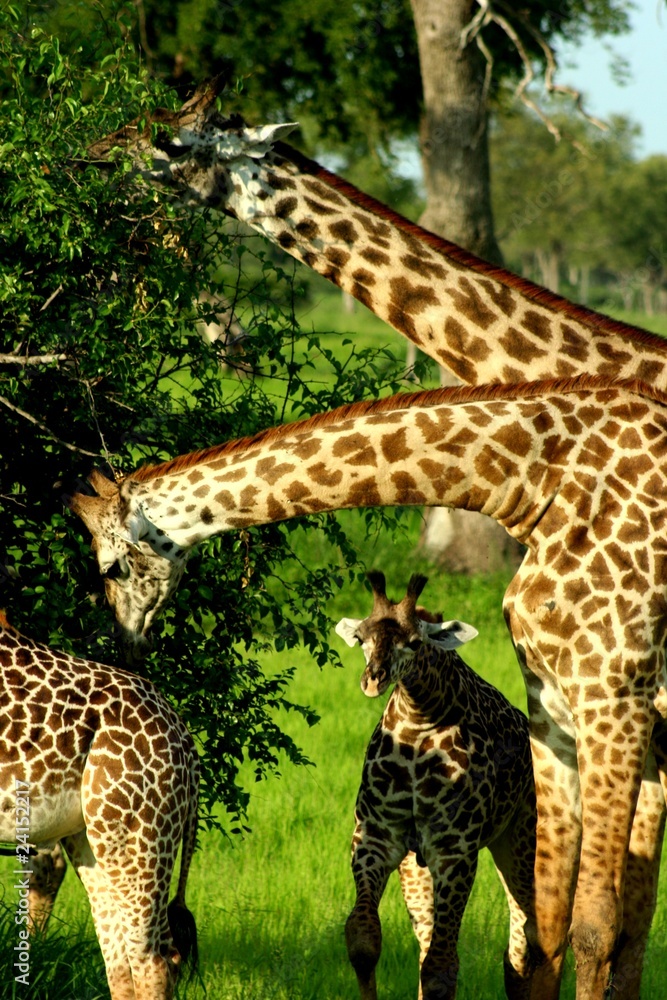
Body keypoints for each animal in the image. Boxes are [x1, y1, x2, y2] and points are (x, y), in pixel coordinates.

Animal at [336, 571, 536, 1000]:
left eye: (414, 642)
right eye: (360, 637)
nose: (373, 679)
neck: (418, 721)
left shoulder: (454, 850)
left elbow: (441, 970)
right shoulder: (376, 836)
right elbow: (363, 940)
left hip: (519, 840)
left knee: (525, 939)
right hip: (417, 864)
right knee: (434, 940)